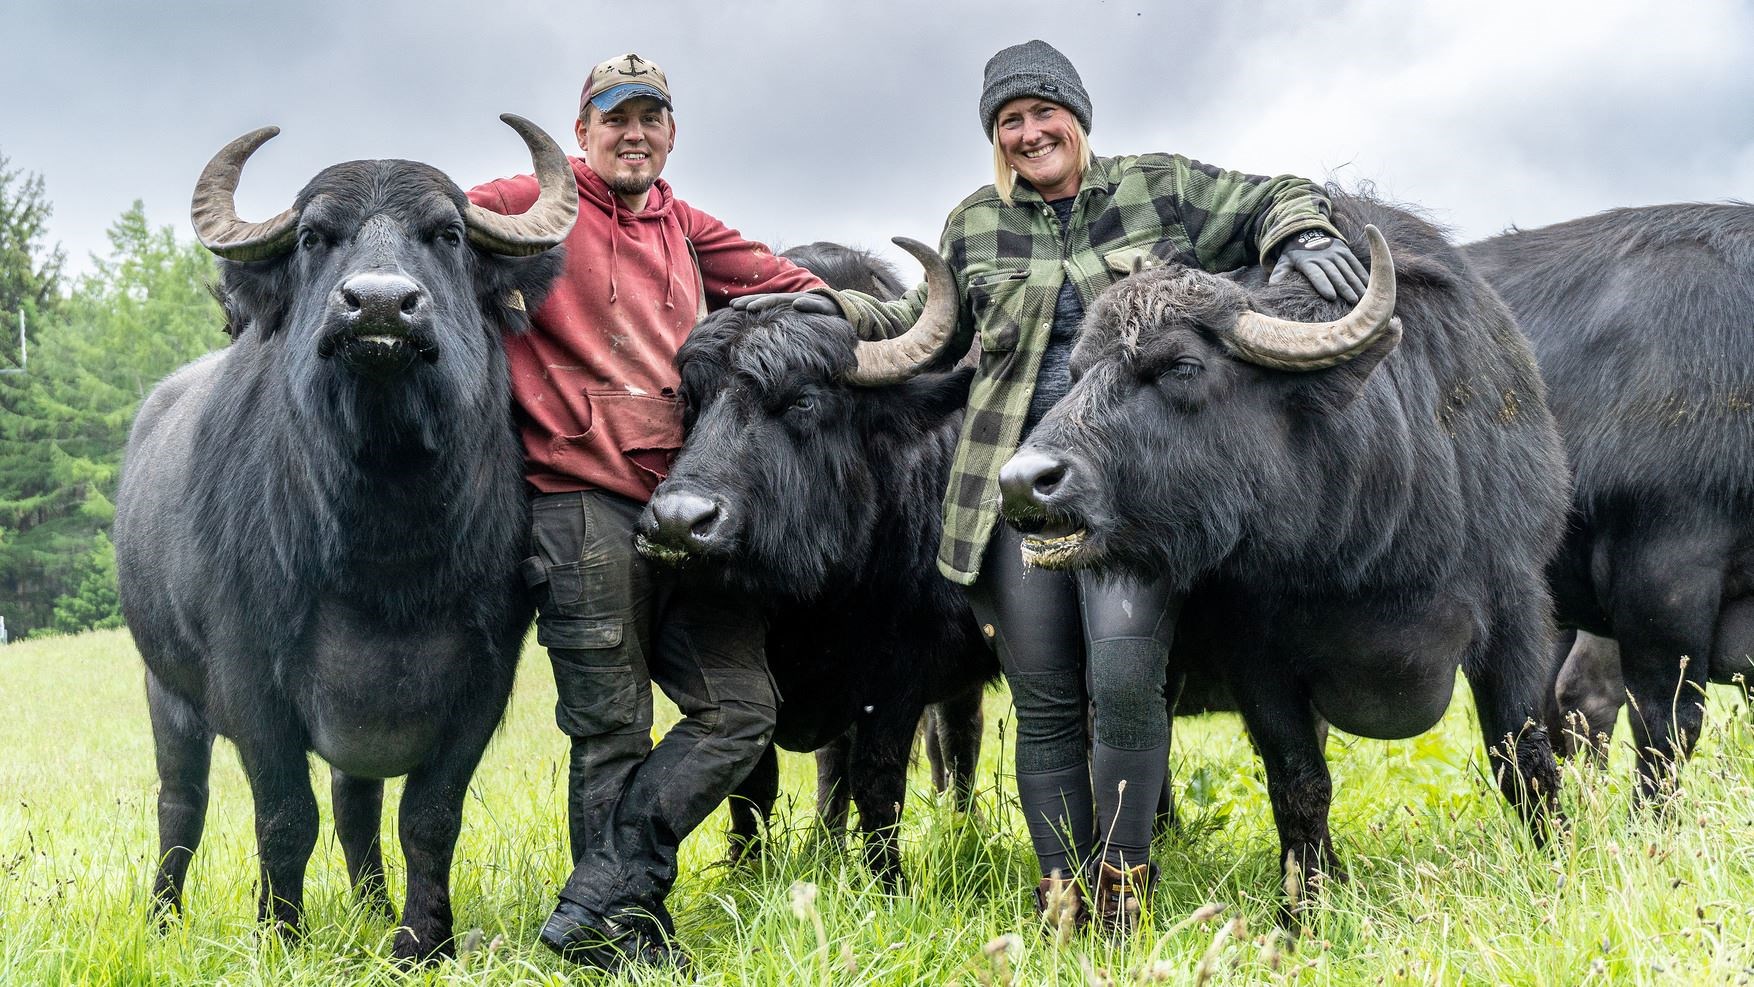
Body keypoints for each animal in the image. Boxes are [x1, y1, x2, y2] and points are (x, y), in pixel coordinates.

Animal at [111, 113, 575, 960]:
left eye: (448, 233)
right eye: (313, 237)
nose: (380, 306)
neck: (385, 549)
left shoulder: (484, 681)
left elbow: (428, 817)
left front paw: (422, 938)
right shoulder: (250, 680)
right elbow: (284, 818)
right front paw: (280, 934)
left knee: (356, 803)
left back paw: (370, 905)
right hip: (166, 687)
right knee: (181, 804)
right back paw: (162, 918)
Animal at [641, 236, 1003, 880]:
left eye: (803, 402)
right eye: (690, 398)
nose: (680, 522)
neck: (817, 598)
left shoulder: (898, 677)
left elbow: (878, 782)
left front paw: (888, 879)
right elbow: (751, 784)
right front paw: (746, 872)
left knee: (958, 737)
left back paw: (963, 829)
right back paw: (829, 842)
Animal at [996, 197, 1571, 918]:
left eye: (1181, 365)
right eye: (1075, 373)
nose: (1023, 482)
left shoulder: (1518, 609)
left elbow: (1525, 759)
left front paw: (1559, 860)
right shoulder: (1256, 656)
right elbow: (1299, 781)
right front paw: (1305, 903)